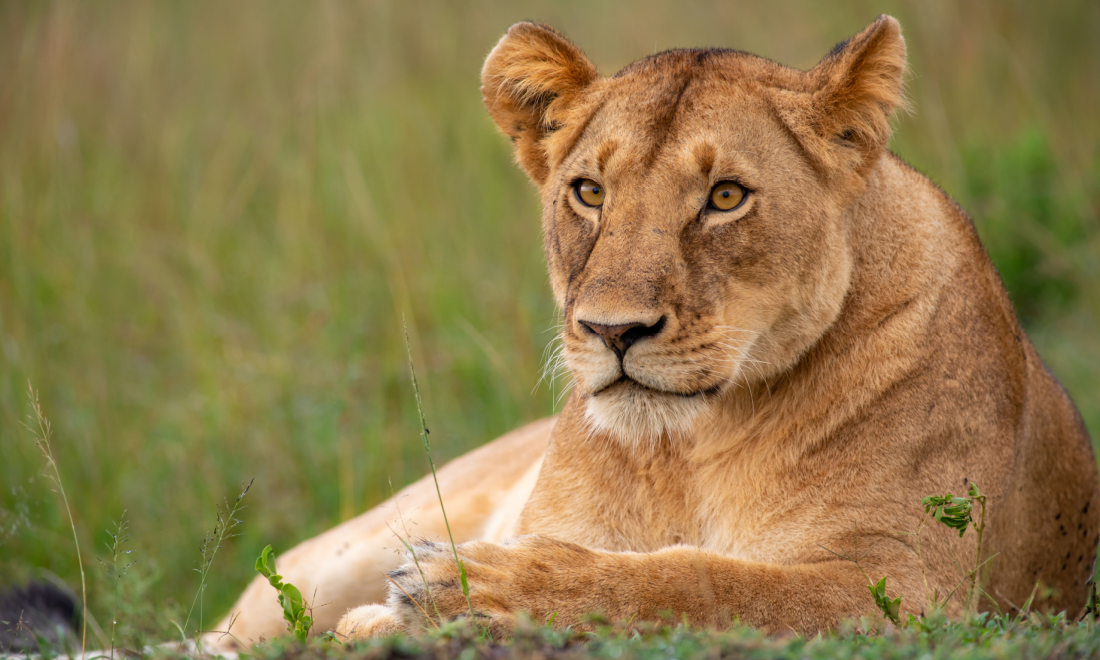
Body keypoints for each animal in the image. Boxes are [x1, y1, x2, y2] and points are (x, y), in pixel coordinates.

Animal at [207, 15, 1098, 647]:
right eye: (589, 191)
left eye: (726, 197)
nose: (613, 331)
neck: (687, 454)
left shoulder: (913, 589)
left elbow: (707, 583)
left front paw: (475, 591)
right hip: (346, 548)